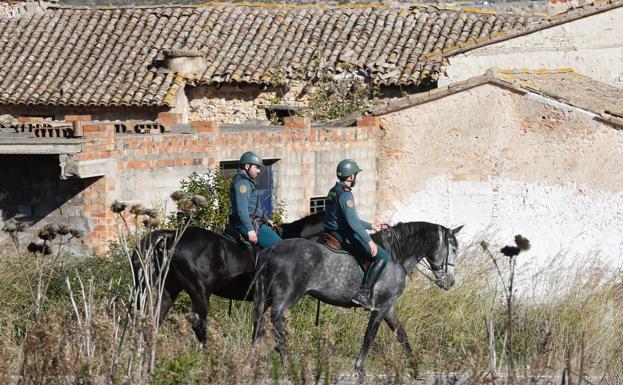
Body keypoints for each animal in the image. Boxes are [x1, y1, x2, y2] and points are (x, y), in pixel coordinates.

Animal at [252, 220, 464, 376]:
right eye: (453, 250)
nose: (450, 282)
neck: (396, 257)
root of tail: (271, 250)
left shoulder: (389, 308)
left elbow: (402, 334)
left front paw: (415, 369)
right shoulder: (380, 308)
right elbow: (369, 336)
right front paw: (359, 368)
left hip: (267, 297)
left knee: (259, 324)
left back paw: (253, 360)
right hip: (285, 298)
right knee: (274, 322)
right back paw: (286, 364)